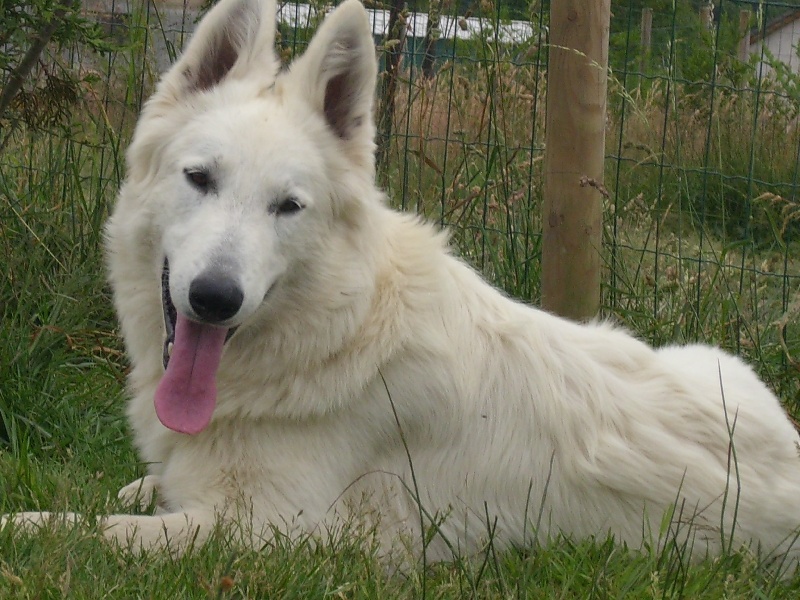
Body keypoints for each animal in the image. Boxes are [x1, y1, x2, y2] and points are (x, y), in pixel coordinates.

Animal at [4, 0, 800, 568]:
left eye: (288, 206)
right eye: (199, 178)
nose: (214, 299)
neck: (333, 333)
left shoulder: (272, 532)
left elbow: (87, 529)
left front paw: (30, 523)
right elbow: (140, 490)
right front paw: (144, 482)